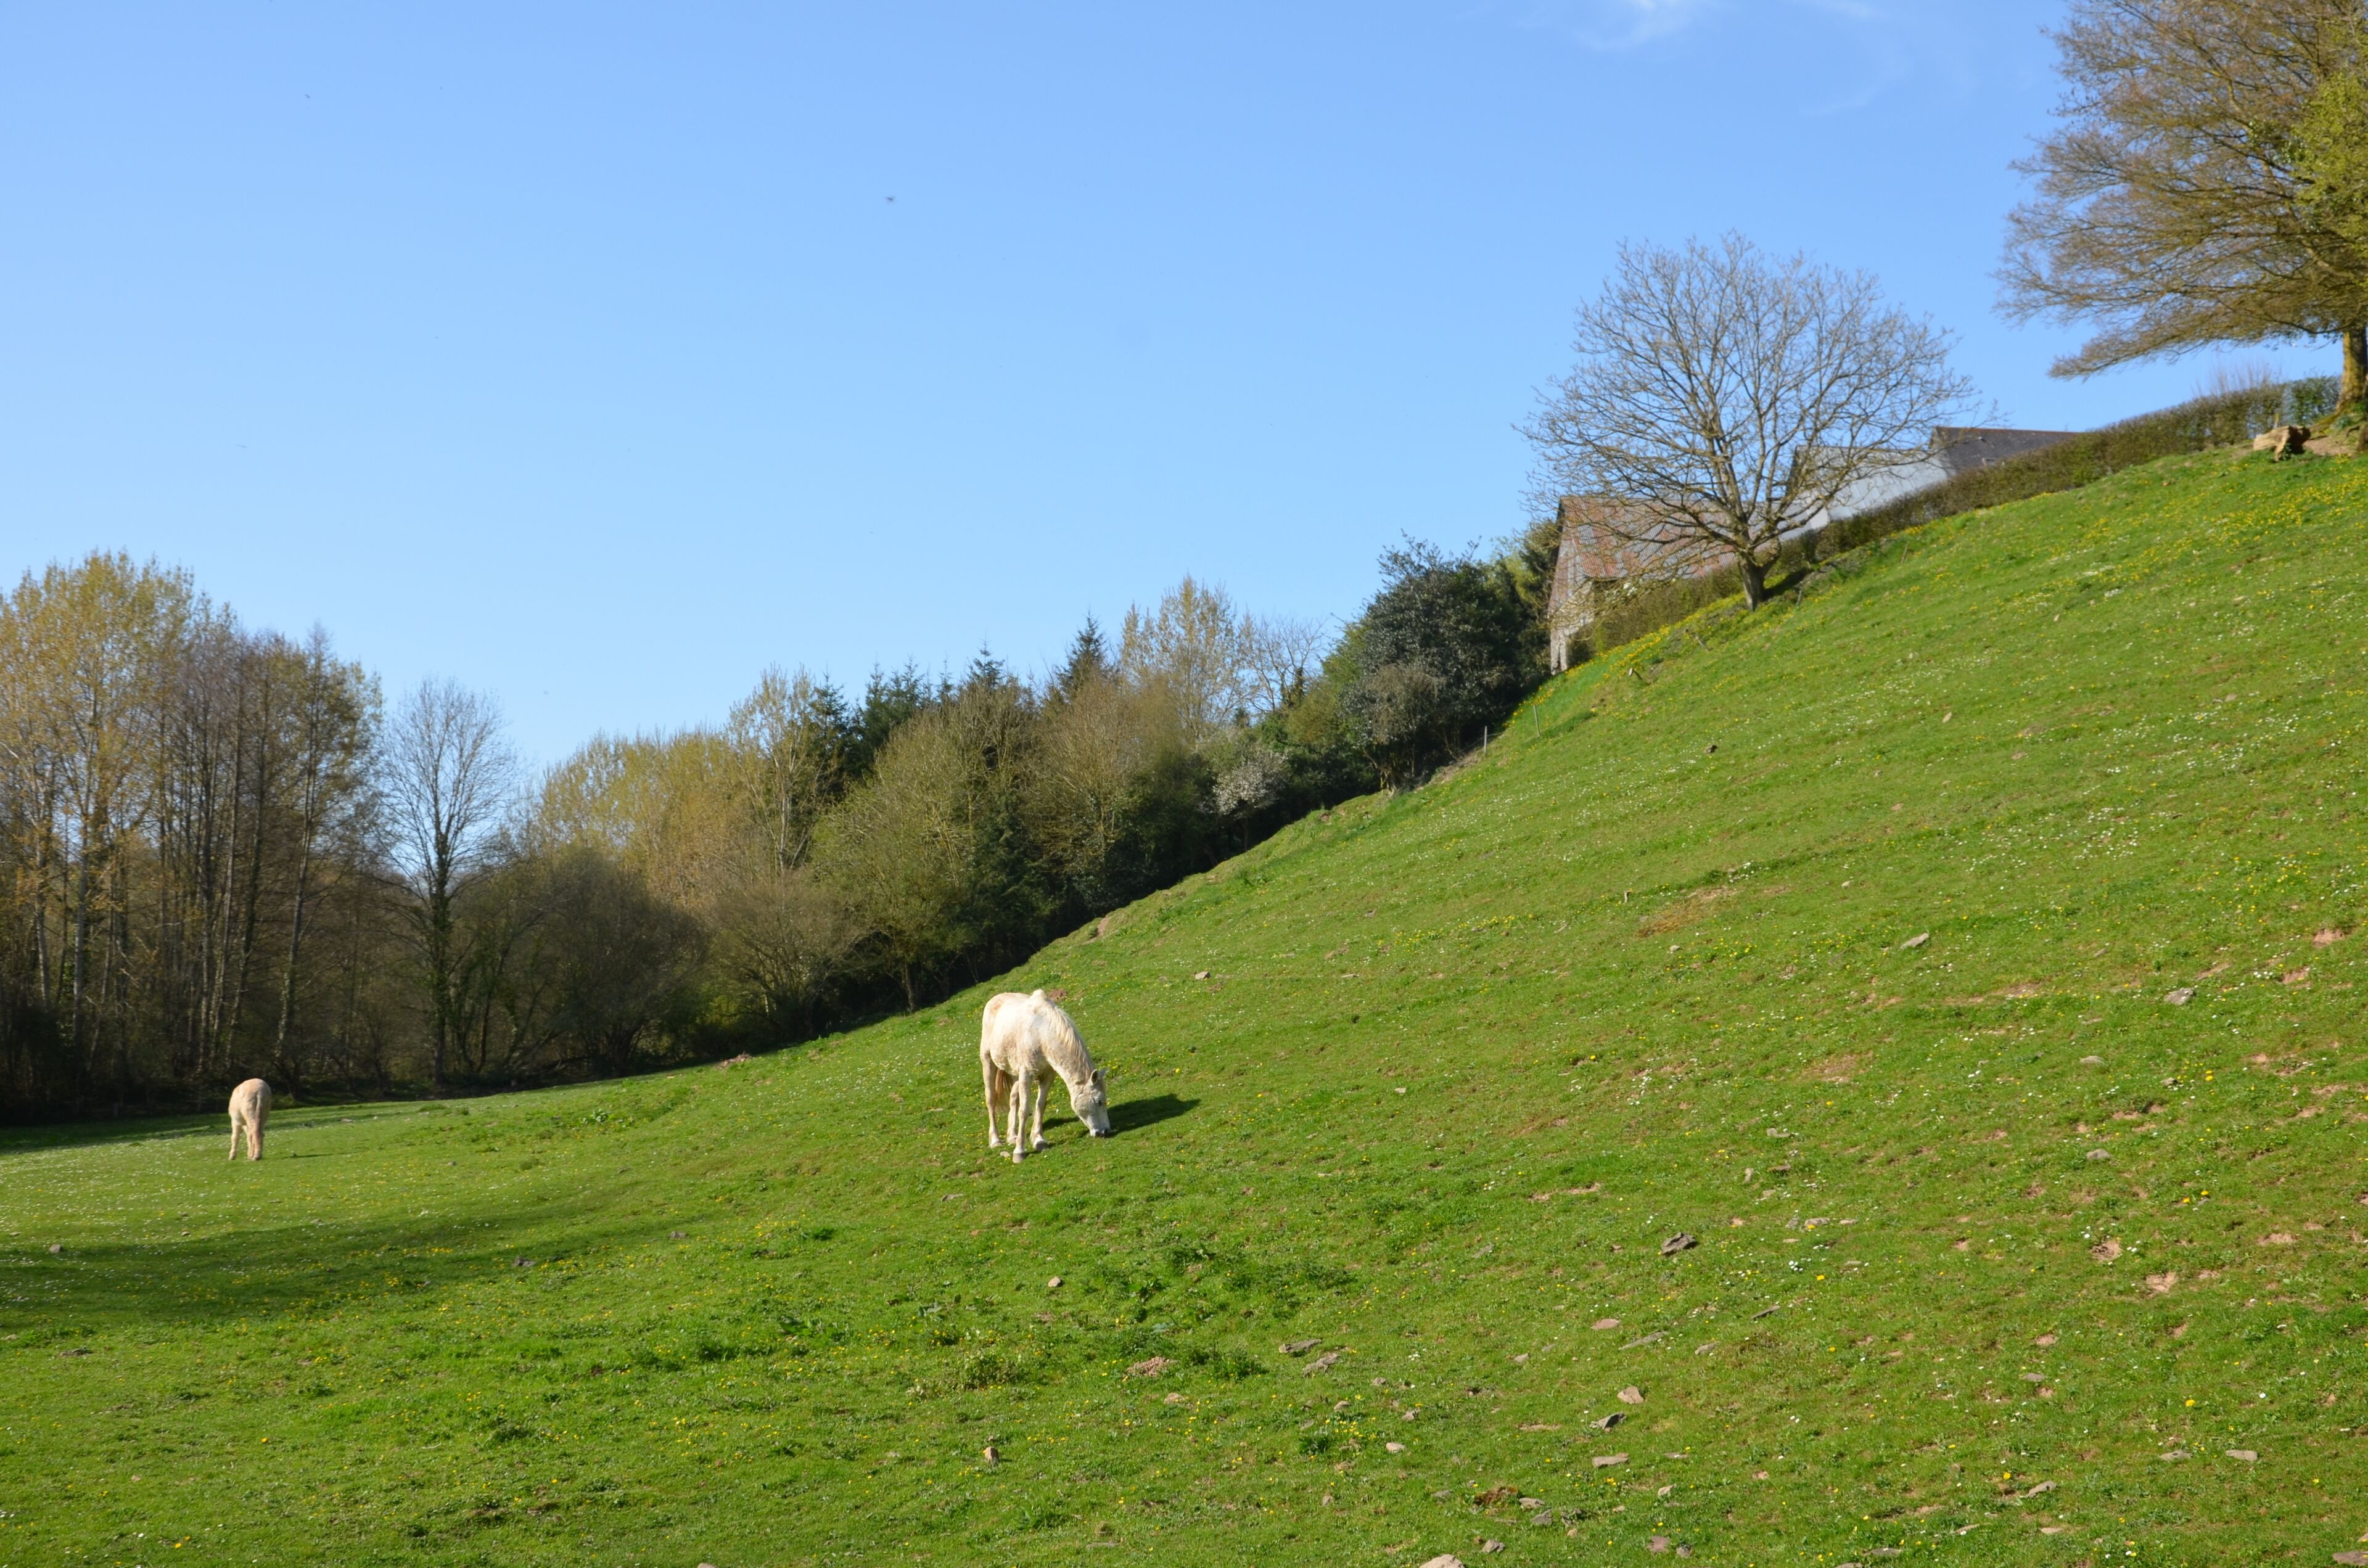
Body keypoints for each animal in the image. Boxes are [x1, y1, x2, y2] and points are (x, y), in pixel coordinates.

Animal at [227, 1078, 272, 1162]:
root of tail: (259, 1091)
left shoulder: (235, 1122)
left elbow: (235, 1137)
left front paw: (232, 1156)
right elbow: (248, 1137)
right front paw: (250, 1154)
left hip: (249, 1110)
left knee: (254, 1131)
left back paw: (256, 1156)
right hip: (264, 1112)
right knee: (259, 1132)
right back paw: (257, 1154)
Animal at [979, 990, 1110, 1163]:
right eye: (1099, 1101)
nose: (1105, 1131)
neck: (1041, 1035)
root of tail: (995, 999)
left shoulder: (1047, 1076)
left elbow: (1040, 1105)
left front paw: (1039, 1141)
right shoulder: (1026, 1075)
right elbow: (1024, 1110)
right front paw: (1019, 1152)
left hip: (1015, 1073)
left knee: (1013, 1098)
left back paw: (1012, 1136)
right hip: (988, 1062)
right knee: (991, 1099)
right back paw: (995, 1140)